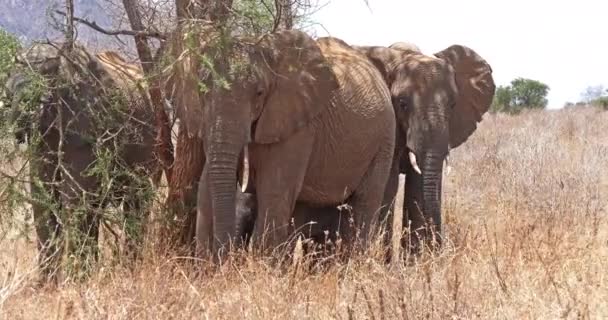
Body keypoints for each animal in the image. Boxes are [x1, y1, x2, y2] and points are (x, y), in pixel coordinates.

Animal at [176, 26, 396, 258]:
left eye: (259, 93)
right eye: (201, 91)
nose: (225, 257)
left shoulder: (298, 126)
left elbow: (274, 193)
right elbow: (206, 187)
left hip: (384, 140)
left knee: (363, 204)